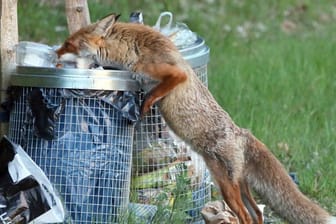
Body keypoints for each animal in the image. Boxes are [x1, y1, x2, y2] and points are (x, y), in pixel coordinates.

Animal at [55, 13, 336, 223]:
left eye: (69, 43)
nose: (55, 55)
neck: (133, 50)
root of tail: (241, 132)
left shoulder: (174, 74)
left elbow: (152, 95)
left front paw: (143, 109)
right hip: (239, 184)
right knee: (257, 213)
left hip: (227, 187)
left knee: (246, 216)